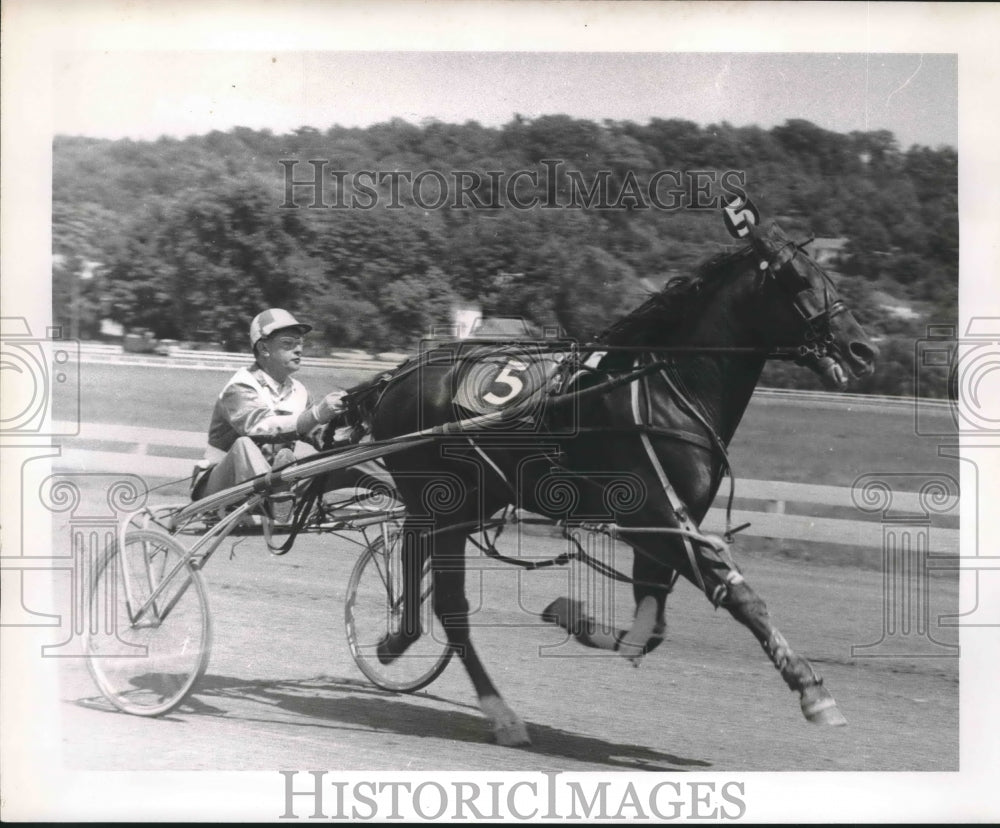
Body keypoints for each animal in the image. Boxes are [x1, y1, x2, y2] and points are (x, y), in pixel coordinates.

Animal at [350, 213, 876, 744]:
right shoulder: (653, 515)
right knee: (450, 605)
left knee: (427, 574)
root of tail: (399, 377)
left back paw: (403, 643)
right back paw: (495, 710)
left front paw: (572, 616)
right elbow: (742, 597)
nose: (862, 349)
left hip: (467, 503)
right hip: (439, 501)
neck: (666, 389)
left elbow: (649, 628)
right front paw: (811, 690)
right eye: (801, 280)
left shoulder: (661, 528)